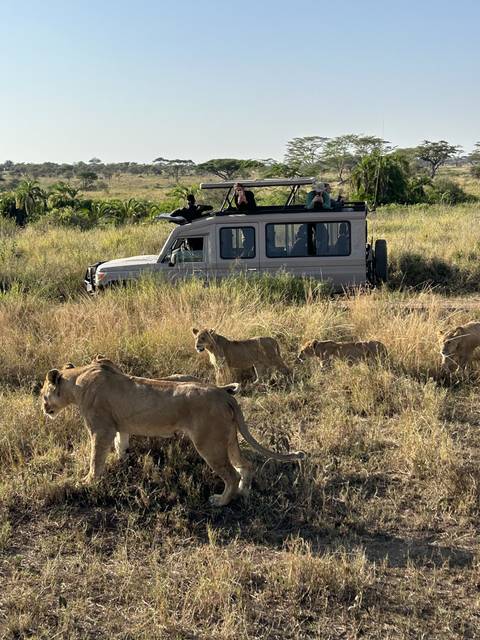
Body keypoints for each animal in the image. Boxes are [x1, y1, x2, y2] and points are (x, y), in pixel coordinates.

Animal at [41, 358, 303, 507]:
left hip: (209, 443)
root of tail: (224, 394)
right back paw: (243, 493)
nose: (44, 408)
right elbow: (120, 443)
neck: (77, 379)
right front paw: (121, 461)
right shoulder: (118, 425)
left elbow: (96, 458)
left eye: (43, 394)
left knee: (231, 474)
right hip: (228, 438)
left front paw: (86, 482)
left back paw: (220, 501)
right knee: (246, 465)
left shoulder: (100, 429)